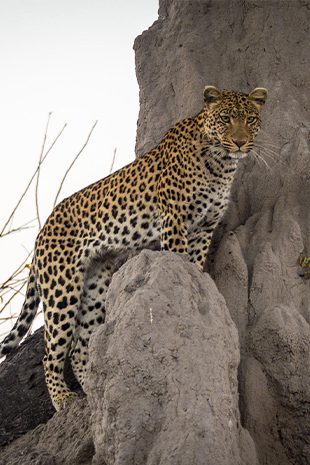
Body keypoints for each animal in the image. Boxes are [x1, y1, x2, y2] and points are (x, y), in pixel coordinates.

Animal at [0, 84, 266, 410]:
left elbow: (195, 265)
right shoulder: (174, 221)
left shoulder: (205, 229)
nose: (240, 142)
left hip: (95, 285)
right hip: (61, 288)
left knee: (80, 347)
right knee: (51, 354)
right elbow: (179, 258)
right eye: (226, 118)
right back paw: (63, 398)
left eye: (250, 119)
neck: (220, 164)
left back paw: (95, 391)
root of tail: (41, 233)